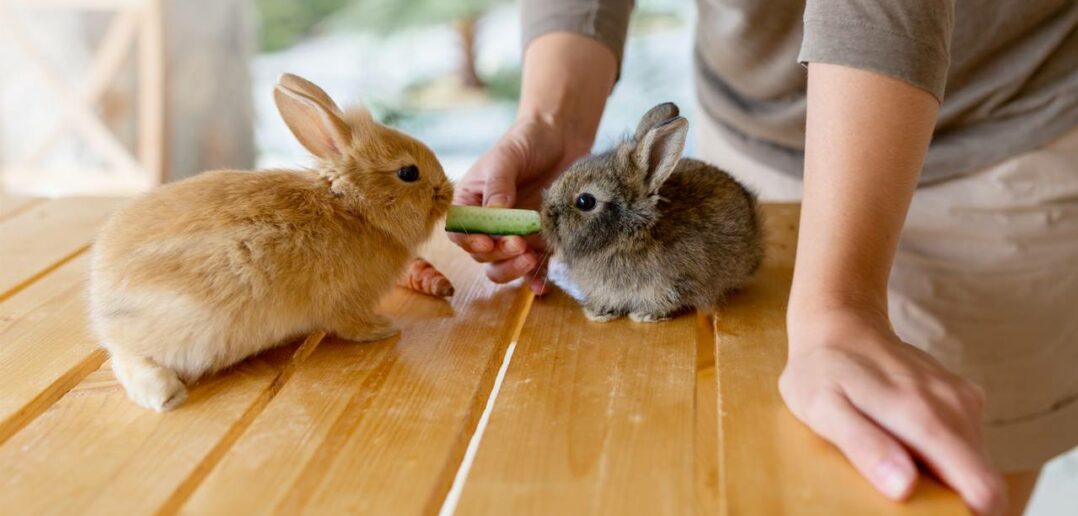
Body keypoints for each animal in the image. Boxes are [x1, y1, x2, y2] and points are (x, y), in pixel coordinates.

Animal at [88, 73, 453, 411]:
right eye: (408, 173)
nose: (447, 191)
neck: (354, 208)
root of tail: (104, 304)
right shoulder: (344, 302)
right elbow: (350, 325)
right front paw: (384, 329)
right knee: (128, 358)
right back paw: (164, 395)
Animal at [540, 102, 763, 323]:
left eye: (585, 201)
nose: (544, 216)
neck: (630, 234)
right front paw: (599, 312)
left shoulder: (676, 283)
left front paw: (644, 315)